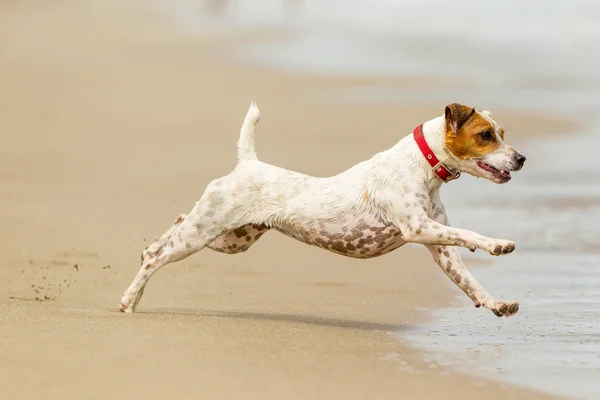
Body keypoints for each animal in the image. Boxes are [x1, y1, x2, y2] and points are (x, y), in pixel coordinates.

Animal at [120, 101, 524, 318]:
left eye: (501, 133)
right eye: (486, 135)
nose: (521, 158)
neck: (421, 167)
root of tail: (248, 164)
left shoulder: (439, 248)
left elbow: (470, 282)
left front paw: (495, 302)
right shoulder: (418, 228)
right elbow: (468, 234)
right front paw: (496, 244)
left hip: (230, 239)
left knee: (169, 230)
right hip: (204, 233)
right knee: (156, 256)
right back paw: (128, 299)